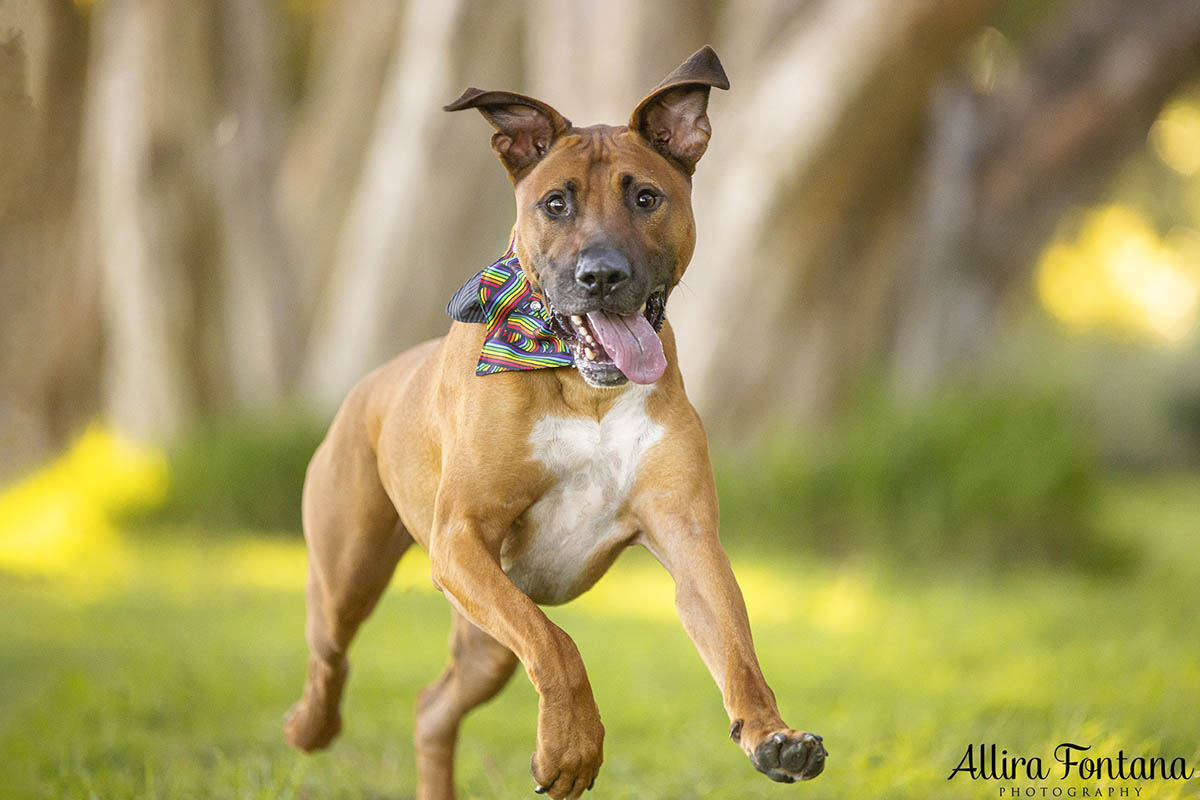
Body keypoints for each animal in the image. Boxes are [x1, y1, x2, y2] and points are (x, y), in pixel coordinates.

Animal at [282, 47, 825, 796]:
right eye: (555, 203)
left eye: (645, 198)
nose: (601, 275)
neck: (580, 383)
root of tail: (370, 385)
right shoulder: (461, 539)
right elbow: (557, 643)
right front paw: (572, 746)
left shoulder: (688, 537)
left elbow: (735, 643)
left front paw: (772, 733)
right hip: (353, 571)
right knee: (329, 655)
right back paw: (309, 726)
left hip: (483, 644)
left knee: (431, 707)